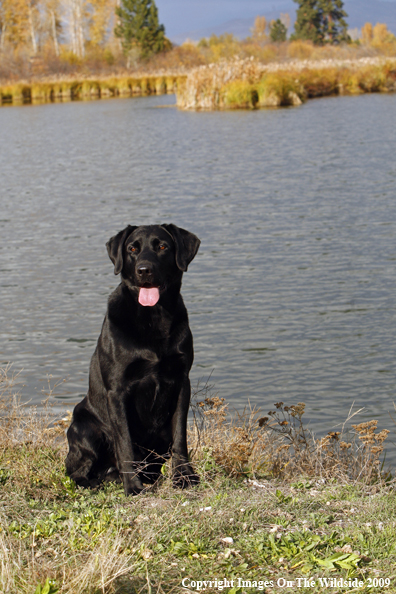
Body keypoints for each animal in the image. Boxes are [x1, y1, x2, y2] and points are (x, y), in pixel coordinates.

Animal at [66, 224, 201, 492]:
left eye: (162, 246)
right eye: (132, 249)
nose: (144, 270)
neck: (154, 316)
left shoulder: (182, 382)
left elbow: (181, 437)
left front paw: (183, 476)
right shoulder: (118, 391)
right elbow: (125, 443)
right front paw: (133, 486)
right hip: (84, 425)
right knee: (77, 472)